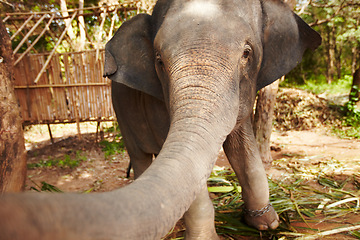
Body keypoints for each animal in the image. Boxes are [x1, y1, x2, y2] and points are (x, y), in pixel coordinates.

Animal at [0, 0, 320, 240]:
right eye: (159, 61)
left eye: (247, 53)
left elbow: (243, 150)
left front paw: (267, 223)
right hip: (122, 115)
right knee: (141, 158)